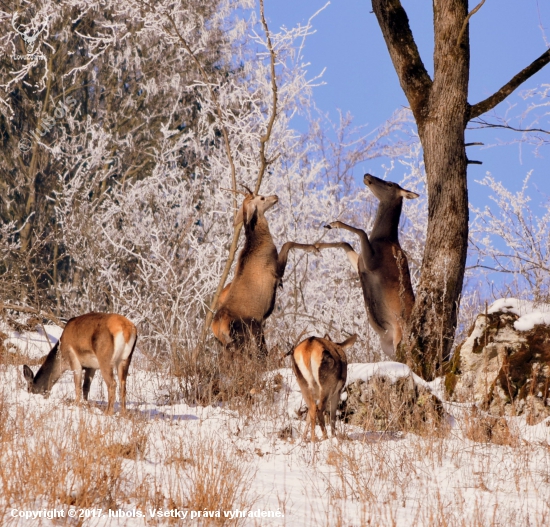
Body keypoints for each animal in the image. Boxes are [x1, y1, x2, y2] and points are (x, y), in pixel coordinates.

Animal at [211, 188, 324, 360]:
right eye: (262, 198)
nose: (275, 196)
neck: (260, 241)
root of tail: (218, 328)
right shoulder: (275, 269)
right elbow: (287, 243)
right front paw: (314, 249)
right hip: (248, 331)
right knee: (256, 355)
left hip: (228, 343)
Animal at [326, 175, 420, 360]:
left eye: (390, 184)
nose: (367, 175)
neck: (381, 238)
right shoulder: (361, 263)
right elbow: (345, 243)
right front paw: (323, 235)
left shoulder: (373, 262)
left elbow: (361, 231)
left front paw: (335, 223)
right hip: (387, 345)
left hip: (401, 335)